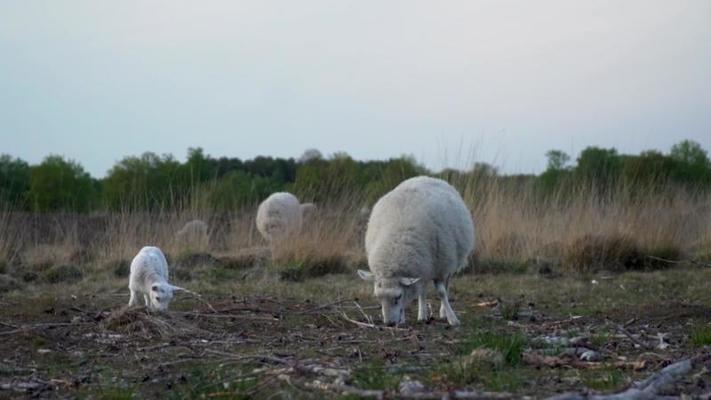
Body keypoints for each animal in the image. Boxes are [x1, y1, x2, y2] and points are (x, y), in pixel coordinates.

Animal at [356, 177, 478, 326]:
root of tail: (425, 177)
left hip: (446, 262)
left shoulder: (440, 266)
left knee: (446, 285)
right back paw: (422, 315)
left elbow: (442, 292)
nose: (389, 323)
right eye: (378, 297)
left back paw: (442, 312)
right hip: (424, 265)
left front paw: (452, 319)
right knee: (422, 290)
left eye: (398, 296)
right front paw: (403, 318)